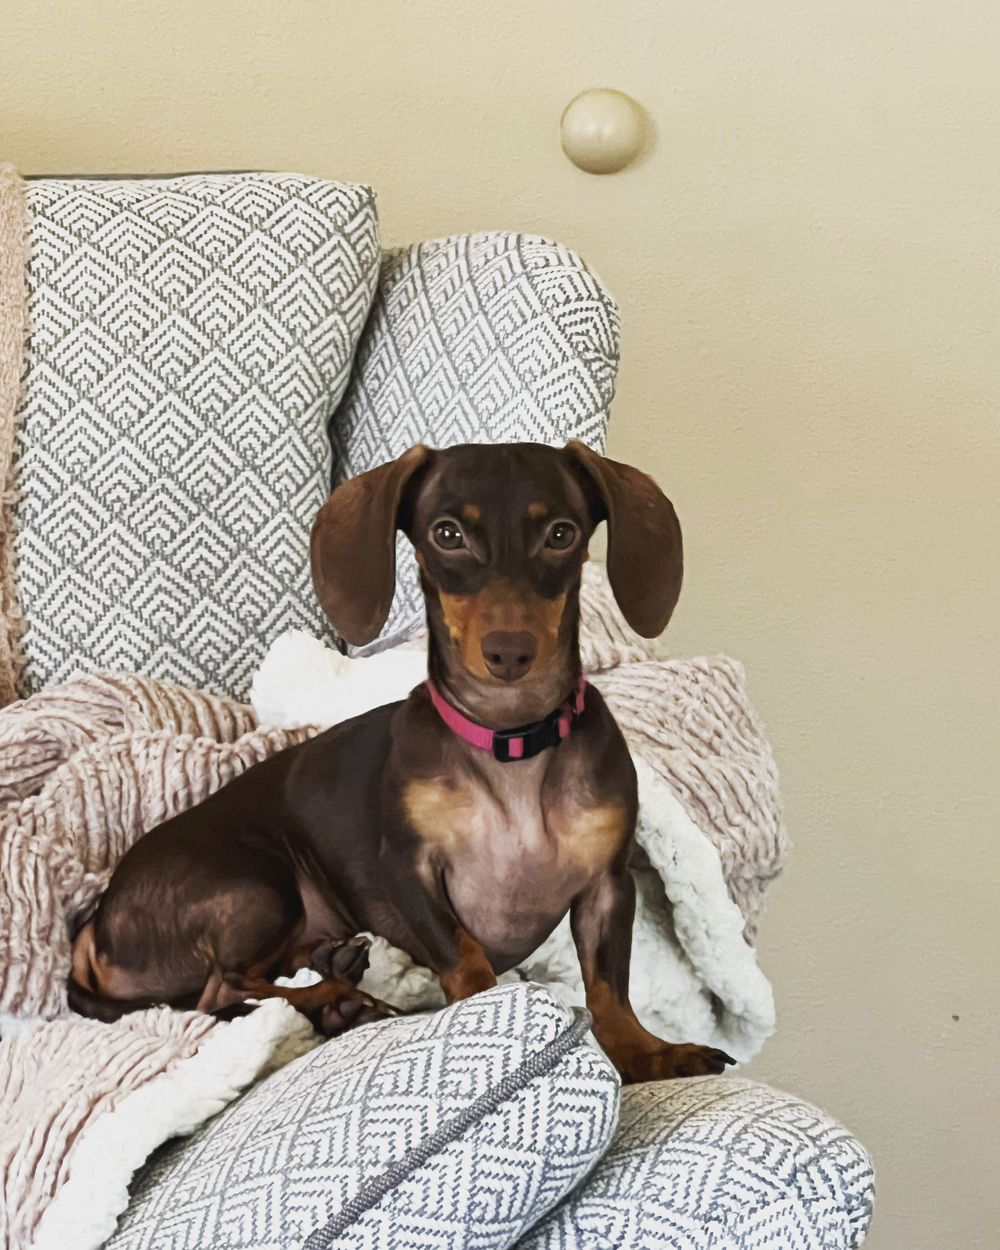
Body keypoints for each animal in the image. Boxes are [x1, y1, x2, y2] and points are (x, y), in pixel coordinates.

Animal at [64, 445, 735, 1080]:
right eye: (448, 534)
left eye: (562, 533)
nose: (509, 652)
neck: (510, 741)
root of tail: (95, 926)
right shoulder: (409, 868)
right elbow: (466, 956)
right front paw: (491, 1014)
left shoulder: (606, 886)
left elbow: (609, 990)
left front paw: (649, 1053)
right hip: (256, 885)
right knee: (223, 989)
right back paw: (341, 1000)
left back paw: (335, 970)